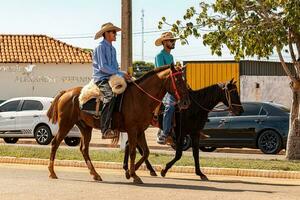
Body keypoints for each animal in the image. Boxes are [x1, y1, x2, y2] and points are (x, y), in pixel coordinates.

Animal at [47, 65, 190, 183]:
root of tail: (66, 92)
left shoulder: (140, 130)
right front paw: (133, 174)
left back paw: (95, 174)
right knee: (55, 143)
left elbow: (146, 152)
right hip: (66, 124)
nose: (186, 102)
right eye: (177, 80)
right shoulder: (132, 130)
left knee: (84, 149)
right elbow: (133, 151)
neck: (140, 97)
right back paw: (52, 172)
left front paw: (130, 172)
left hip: (85, 127)